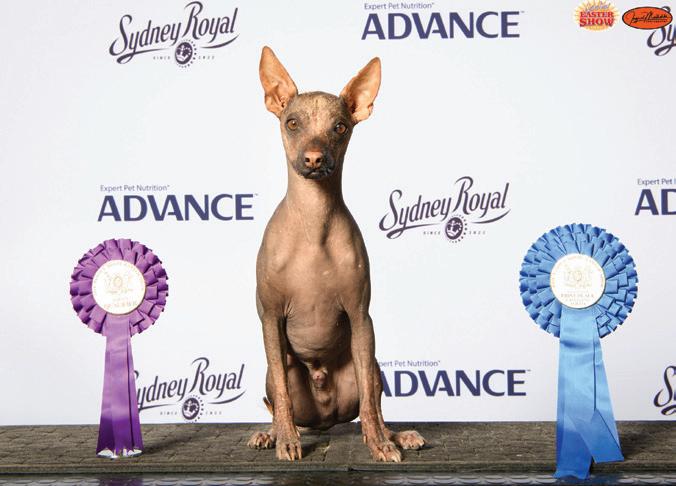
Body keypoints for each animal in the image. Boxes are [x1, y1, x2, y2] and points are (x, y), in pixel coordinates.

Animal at [247, 47, 425, 462]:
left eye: (340, 127)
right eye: (292, 123)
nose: (314, 158)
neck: (315, 224)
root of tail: (326, 420)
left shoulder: (361, 318)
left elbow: (371, 409)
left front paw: (379, 444)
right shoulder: (270, 319)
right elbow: (282, 398)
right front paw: (287, 441)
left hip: (373, 366)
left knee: (372, 402)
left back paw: (396, 435)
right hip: (278, 369)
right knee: (279, 402)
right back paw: (272, 433)